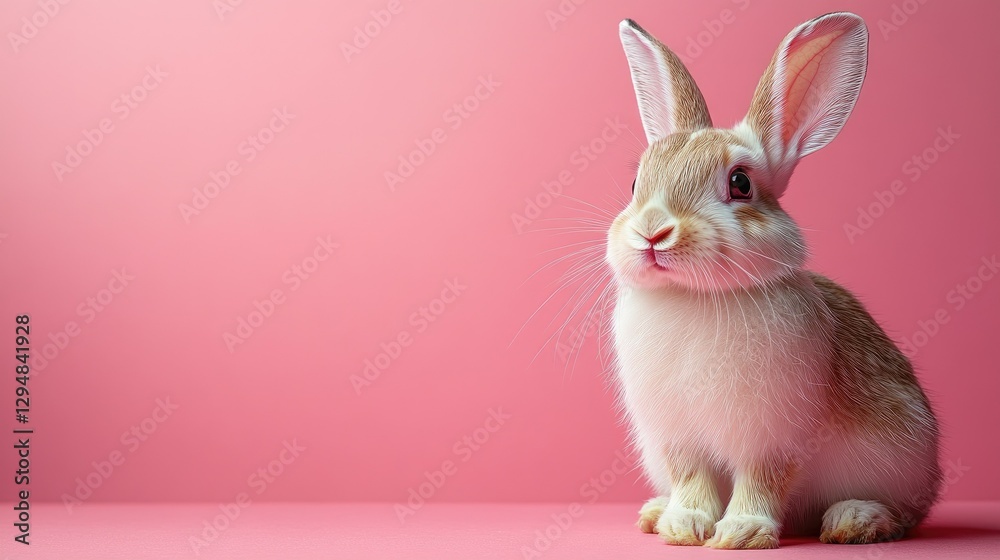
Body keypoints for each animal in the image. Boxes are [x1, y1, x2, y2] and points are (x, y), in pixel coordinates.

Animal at [607, 13, 942, 549]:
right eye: (636, 183)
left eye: (741, 183)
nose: (652, 232)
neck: (696, 297)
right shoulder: (676, 435)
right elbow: (691, 477)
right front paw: (683, 525)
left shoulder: (772, 435)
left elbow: (762, 479)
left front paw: (741, 532)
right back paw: (656, 512)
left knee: (905, 514)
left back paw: (855, 520)